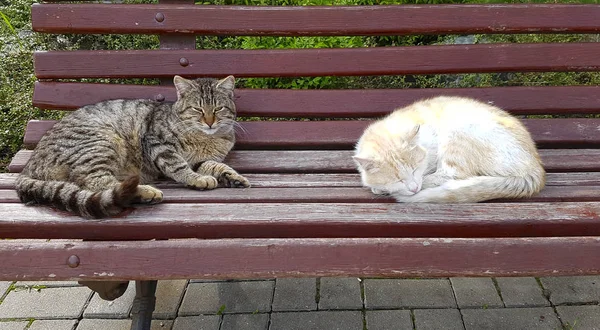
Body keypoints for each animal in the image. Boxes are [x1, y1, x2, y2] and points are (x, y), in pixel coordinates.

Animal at [15, 75, 248, 219]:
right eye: (197, 109)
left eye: (218, 108)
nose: (209, 122)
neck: (207, 139)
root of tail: (27, 167)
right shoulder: (157, 143)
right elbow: (179, 166)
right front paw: (196, 179)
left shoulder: (201, 160)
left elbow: (216, 166)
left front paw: (233, 177)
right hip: (101, 142)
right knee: (97, 182)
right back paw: (145, 192)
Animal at [354, 95, 548, 202]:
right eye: (398, 179)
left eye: (415, 169)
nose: (413, 188)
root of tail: (535, 170)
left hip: (457, 130)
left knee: (453, 176)